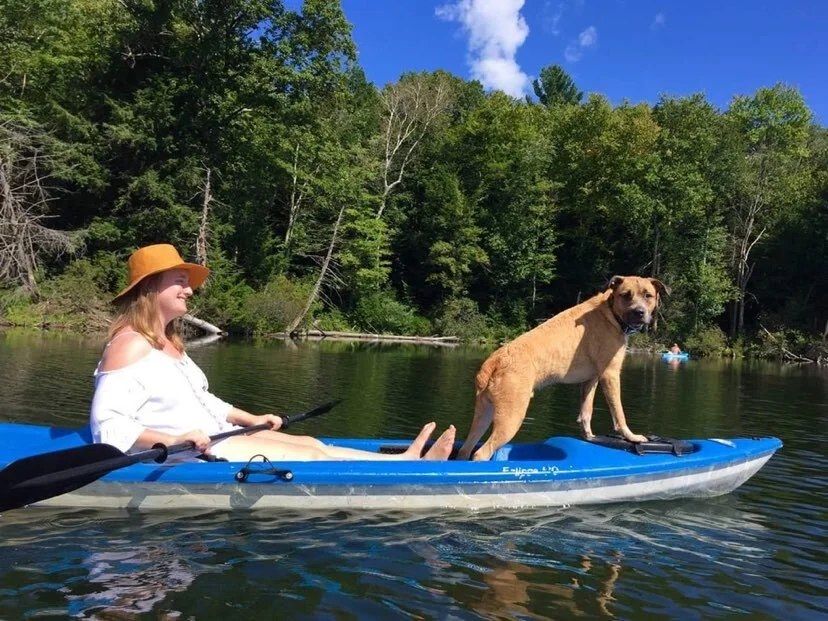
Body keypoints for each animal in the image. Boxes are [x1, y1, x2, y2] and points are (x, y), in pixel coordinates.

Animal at [456, 276, 668, 460]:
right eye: (625, 295)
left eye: (648, 295)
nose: (639, 313)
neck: (610, 312)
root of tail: (495, 360)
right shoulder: (610, 374)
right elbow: (619, 413)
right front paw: (632, 437)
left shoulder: (591, 380)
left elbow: (586, 412)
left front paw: (589, 437)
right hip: (511, 416)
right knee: (481, 453)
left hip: (484, 413)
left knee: (465, 449)